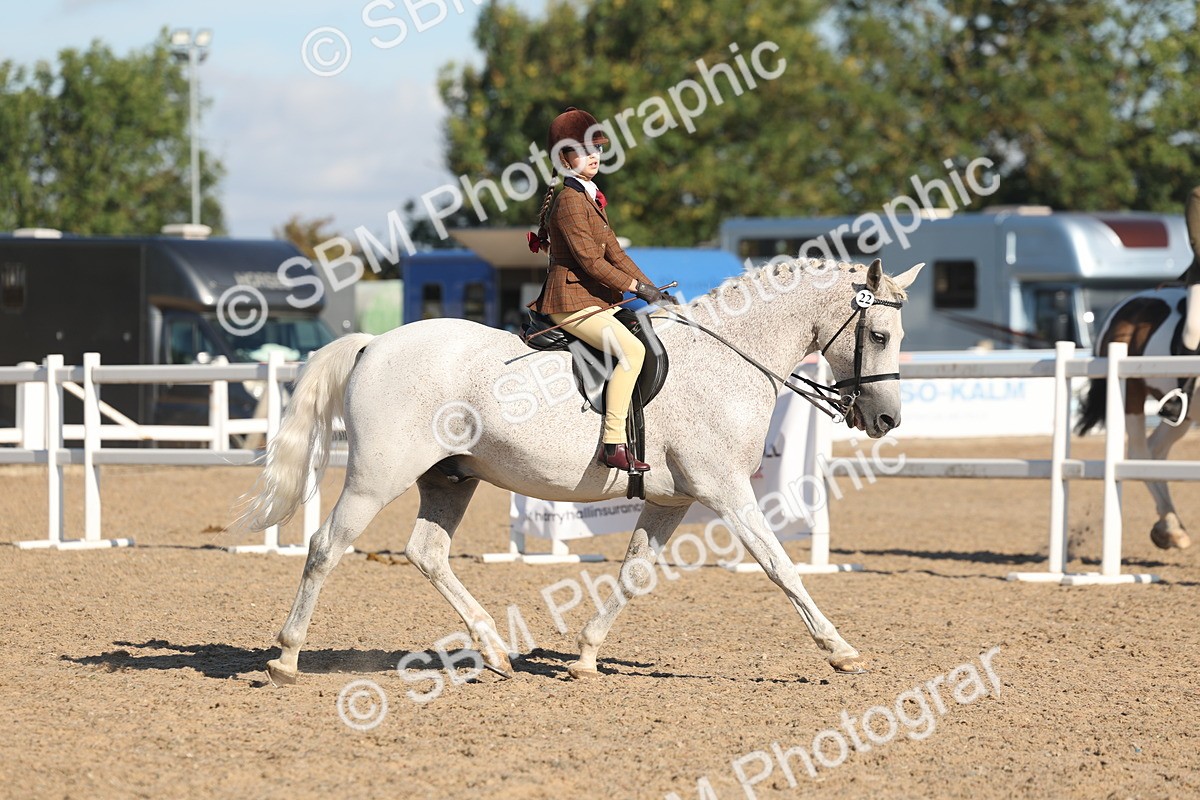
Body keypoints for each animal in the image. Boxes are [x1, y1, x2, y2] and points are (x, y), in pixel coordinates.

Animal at [235, 256, 924, 686]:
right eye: (880, 336)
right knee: (327, 546)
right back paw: (286, 659)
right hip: (378, 476)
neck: (728, 361)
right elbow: (781, 568)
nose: (886, 419)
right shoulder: (727, 493)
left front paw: (586, 657)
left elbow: (633, 574)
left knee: (427, 552)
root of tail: (374, 344)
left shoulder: (671, 501)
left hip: (452, 478)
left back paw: (496, 651)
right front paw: (841, 652)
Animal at [1076, 286, 1195, 550]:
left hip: (1184, 415)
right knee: (1139, 452)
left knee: (1155, 451)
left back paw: (1168, 525)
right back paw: (1171, 527)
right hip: (1130, 393)